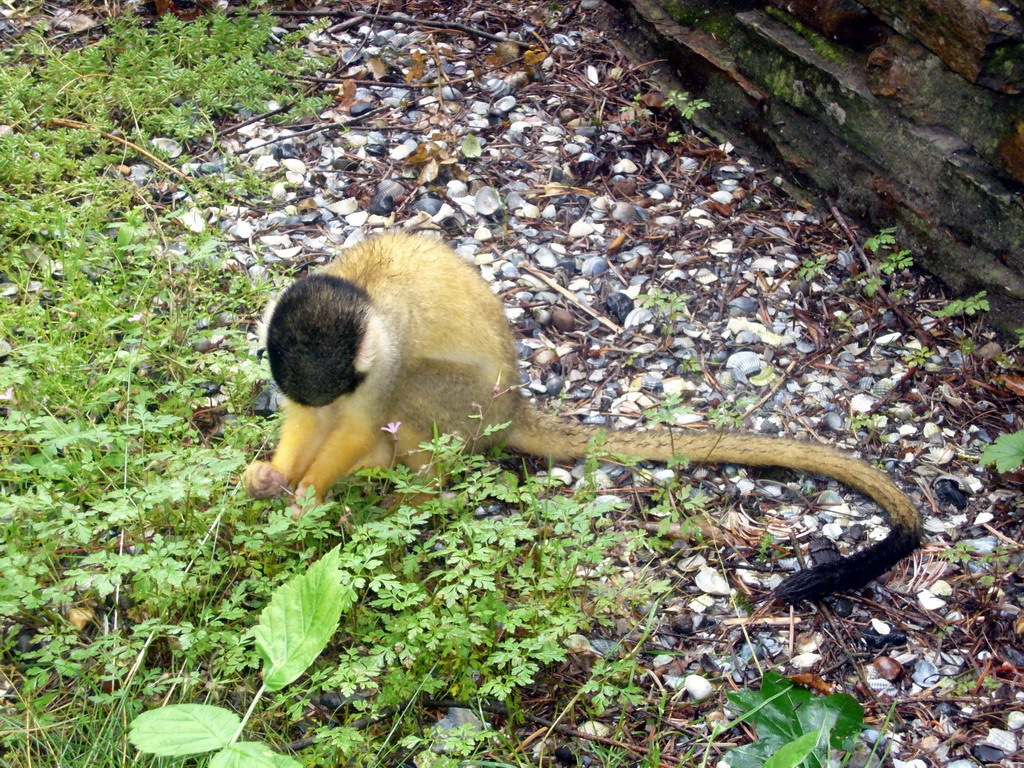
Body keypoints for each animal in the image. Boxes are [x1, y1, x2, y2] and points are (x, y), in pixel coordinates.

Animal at [245, 231, 921, 606]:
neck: (358, 290)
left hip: (474, 407)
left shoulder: (383, 351)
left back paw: (413, 490)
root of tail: (516, 402)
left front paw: (308, 491)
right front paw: (275, 476)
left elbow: (361, 419)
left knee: (415, 392)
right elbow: (311, 421)